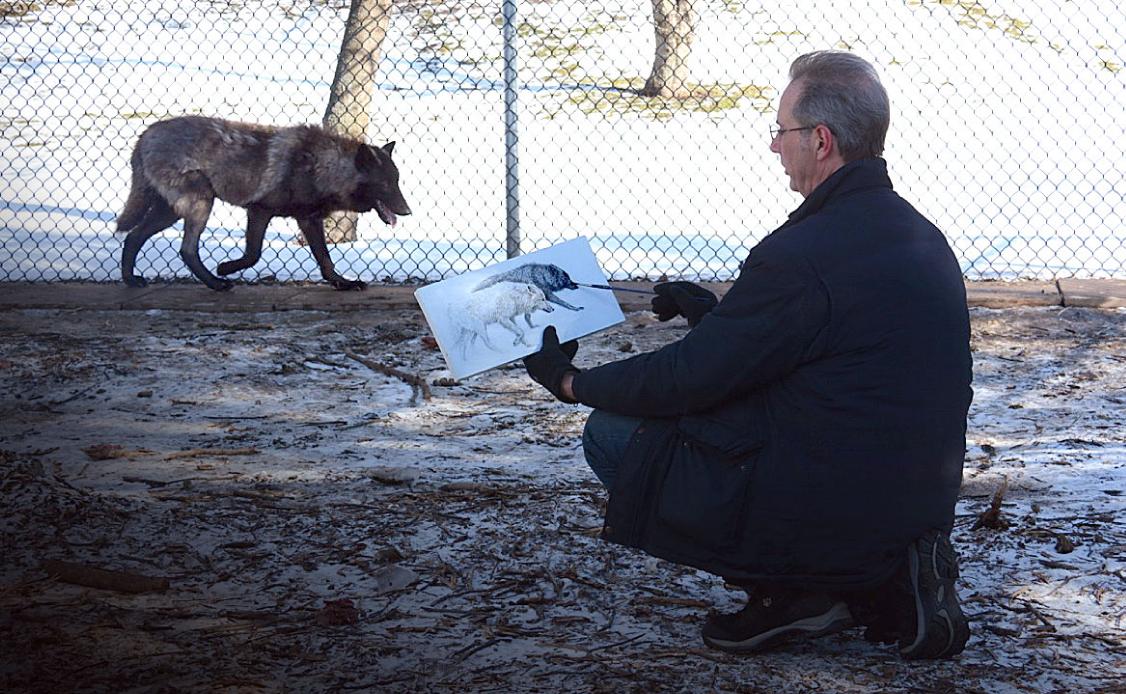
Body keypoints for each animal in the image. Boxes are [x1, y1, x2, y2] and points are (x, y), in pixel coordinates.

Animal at [116, 116, 414, 290]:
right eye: (385, 185)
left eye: (398, 181)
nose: (408, 211)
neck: (321, 167)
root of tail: (145, 135)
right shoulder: (259, 211)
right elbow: (254, 254)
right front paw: (225, 268)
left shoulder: (309, 219)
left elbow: (325, 260)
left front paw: (343, 283)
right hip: (200, 204)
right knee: (186, 250)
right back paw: (216, 283)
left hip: (171, 213)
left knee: (134, 236)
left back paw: (131, 280)